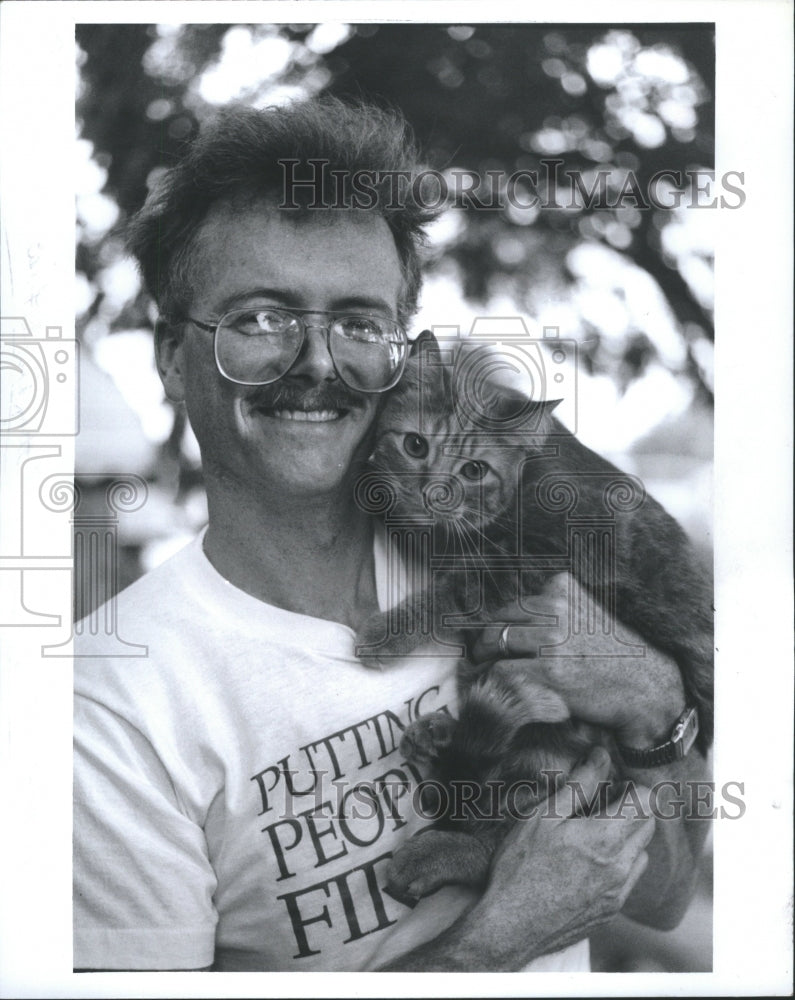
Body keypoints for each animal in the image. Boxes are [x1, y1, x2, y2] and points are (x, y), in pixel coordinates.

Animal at [354, 332, 716, 904]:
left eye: (474, 471)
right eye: (414, 445)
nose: (432, 493)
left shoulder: (535, 563)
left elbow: (451, 591)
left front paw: (385, 633)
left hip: (554, 741)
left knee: (497, 834)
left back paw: (439, 849)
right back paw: (437, 738)